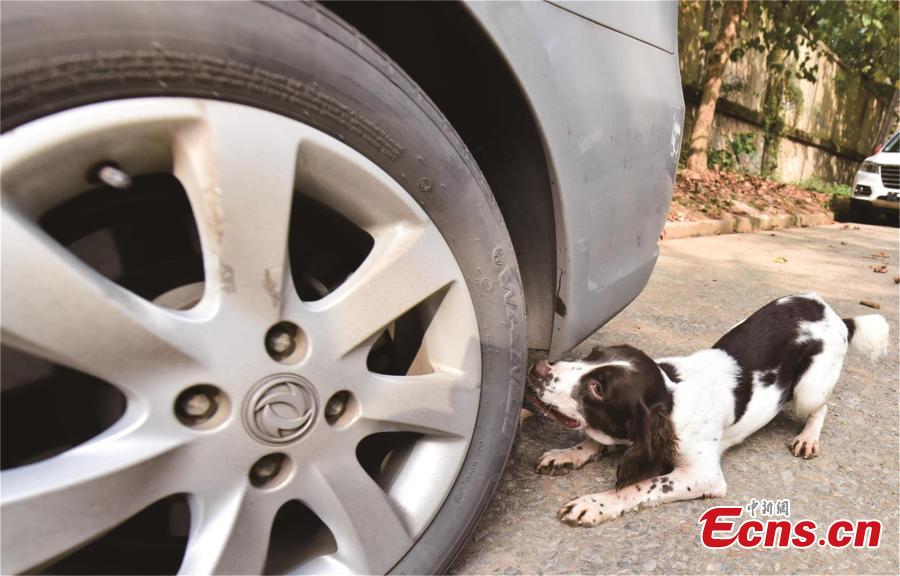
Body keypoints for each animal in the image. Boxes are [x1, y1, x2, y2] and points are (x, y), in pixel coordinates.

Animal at [528, 292, 884, 528]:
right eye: (591, 355)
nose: (538, 367)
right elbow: (594, 441)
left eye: (597, 389)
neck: (672, 397)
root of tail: (836, 316)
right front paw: (566, 454)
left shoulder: (704, 476)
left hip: (807, 390)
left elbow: (640, 484)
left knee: (822, 407)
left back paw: (808, 438)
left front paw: (596, 503)